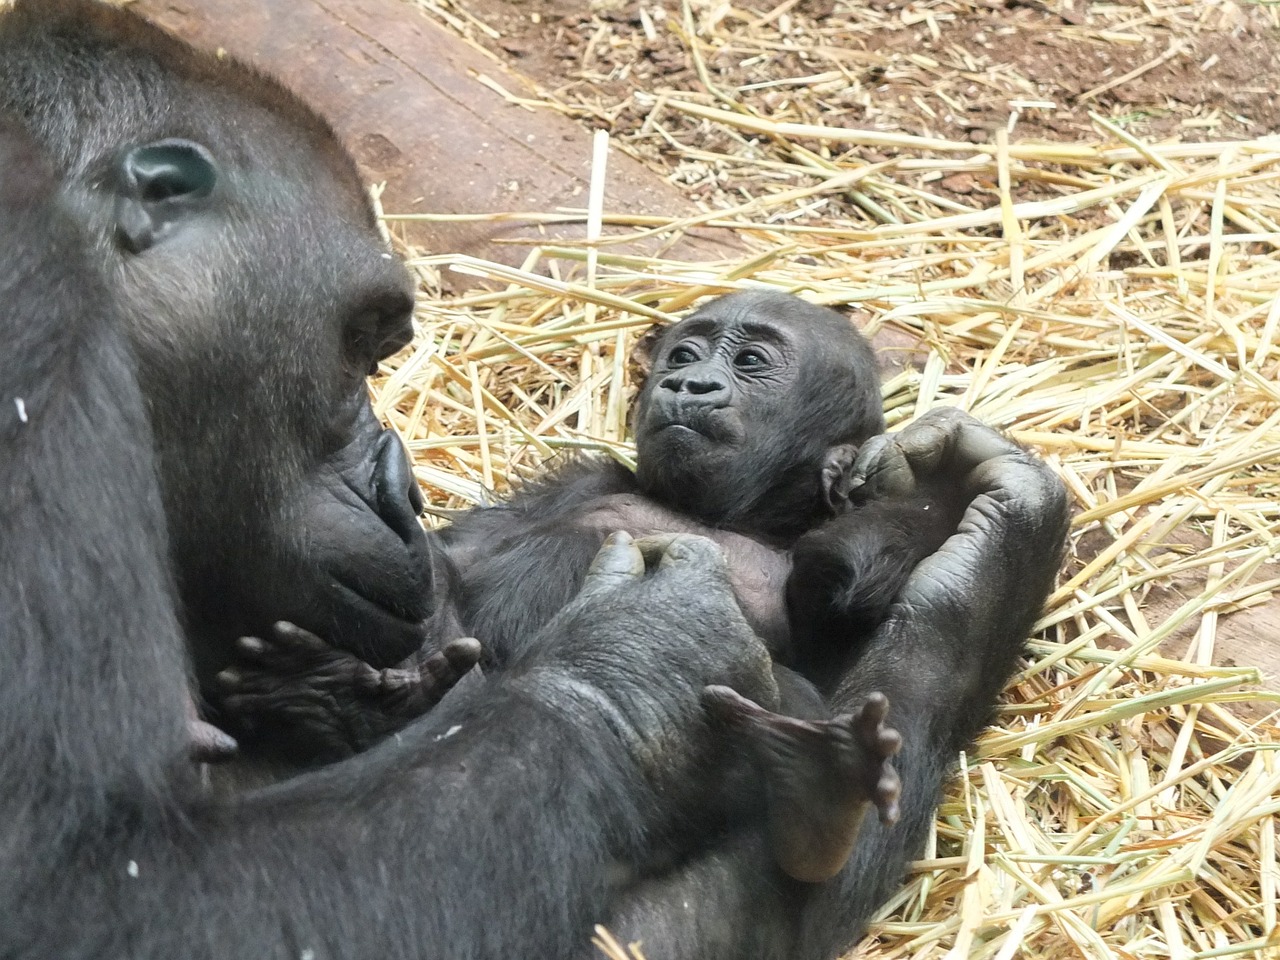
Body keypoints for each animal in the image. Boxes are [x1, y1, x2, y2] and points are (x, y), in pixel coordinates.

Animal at [220, 289, 962, 885]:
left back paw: (819, 785)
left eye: (751, 362)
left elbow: (847, 593)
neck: (725, 515)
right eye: (684, 353)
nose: (690, 384)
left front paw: (884, 478)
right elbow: (456, 562)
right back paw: (341, 704)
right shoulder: (580, 482)